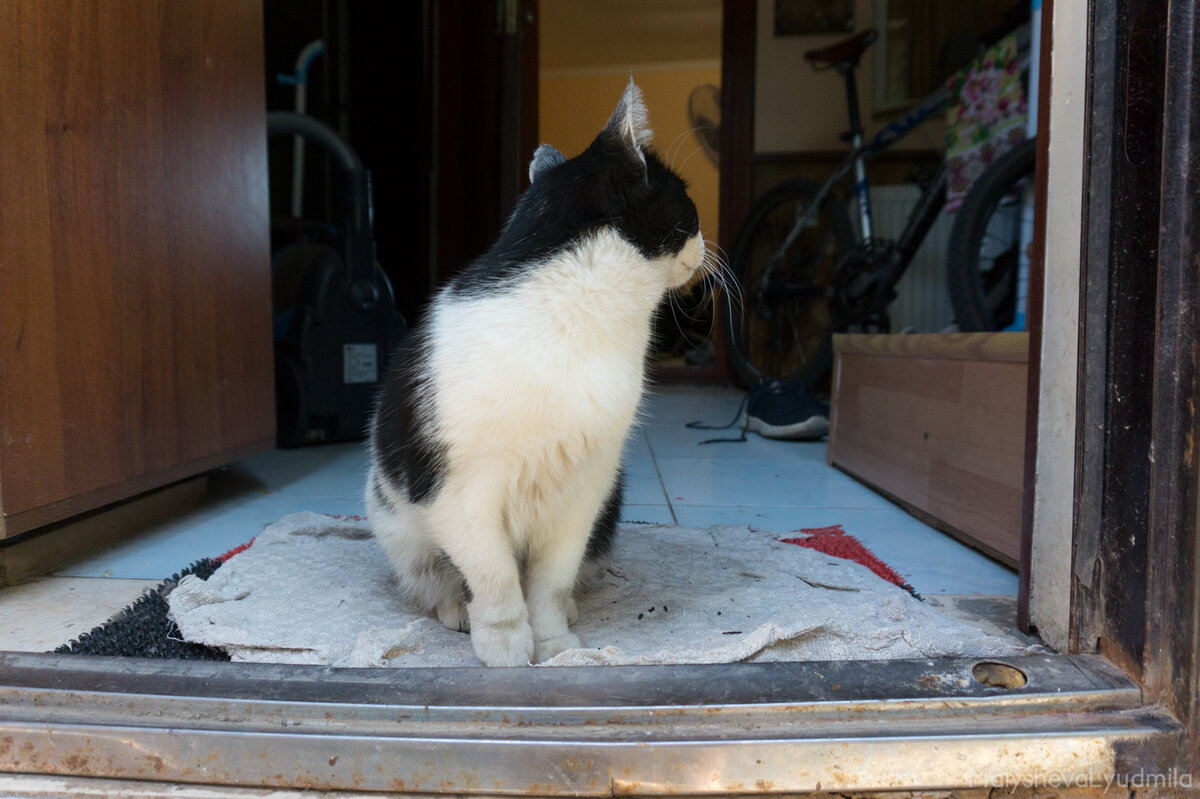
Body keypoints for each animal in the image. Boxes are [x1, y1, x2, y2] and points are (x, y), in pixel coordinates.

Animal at [364, 80, 700, 667]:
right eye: (687, 200)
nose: (705, 244)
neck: (572, 313)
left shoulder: (586, 489)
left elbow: (550, 578)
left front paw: (552, 640)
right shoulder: (461, 494)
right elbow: (493, 576)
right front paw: (504, 644)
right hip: (394, 520)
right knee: (432, 576)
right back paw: (455, 609)